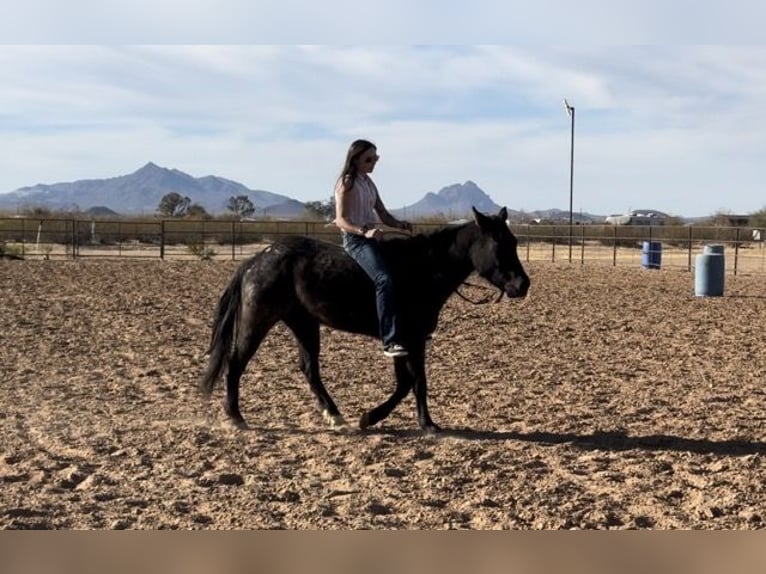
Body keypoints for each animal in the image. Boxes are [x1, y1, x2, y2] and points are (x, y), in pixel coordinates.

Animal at [201, 205, 532, 434]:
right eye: (499, 244)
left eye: (515, 242)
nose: (522, 285)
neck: (423, 269)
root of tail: (255, 260)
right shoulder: (412, 340)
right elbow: (417, 381)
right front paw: (426, 424)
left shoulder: (402, 341)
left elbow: (404, 383)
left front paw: (369, 418)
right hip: (258, 320)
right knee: (236, 362)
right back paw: (236, 418)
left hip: (304, 324)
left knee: (309, 369)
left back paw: (335, 416)